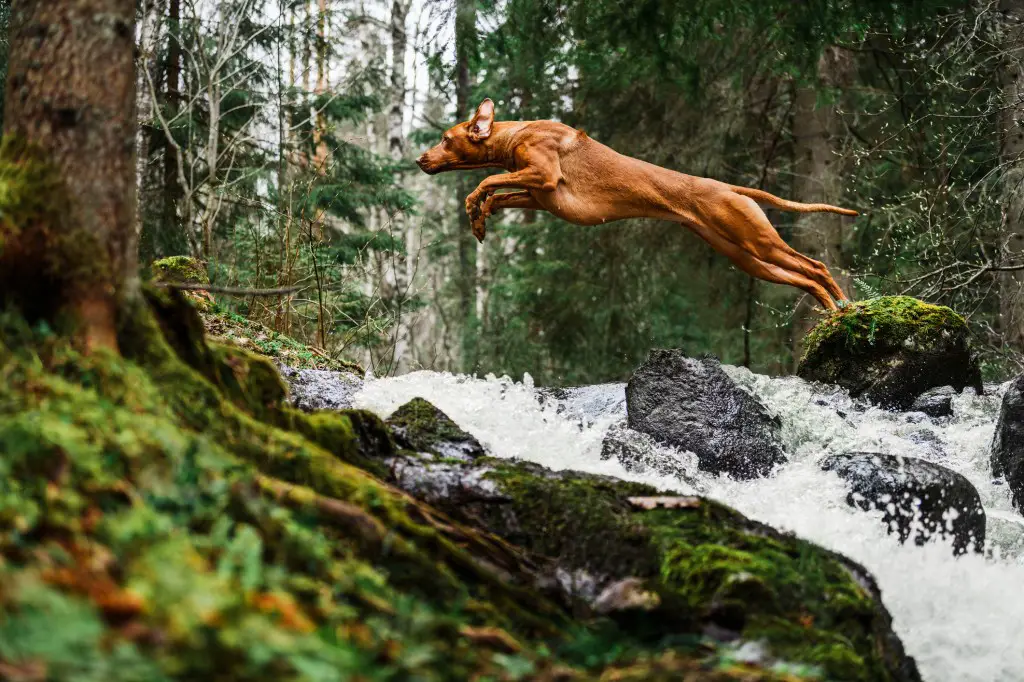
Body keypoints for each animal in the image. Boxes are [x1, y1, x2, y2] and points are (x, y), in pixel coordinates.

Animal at [415, 96, 856, 309]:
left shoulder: (543, 175)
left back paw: (846, 306)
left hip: (756, 240)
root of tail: (731, 188)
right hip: (747, 258)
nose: (419, 160)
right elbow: (498, 193)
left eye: (445, 139)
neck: (517, 133)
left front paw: (473, 207)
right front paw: (479, 219)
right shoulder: (539, 195)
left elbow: (485, 181)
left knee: (816, 266)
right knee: (804, 279)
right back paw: (832, 310)